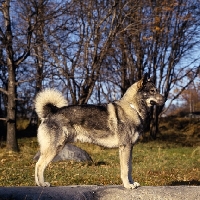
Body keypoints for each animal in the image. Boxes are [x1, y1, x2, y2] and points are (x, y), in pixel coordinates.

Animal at [34, 74, 164, 189]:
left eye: (156, 90)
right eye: (152, 91)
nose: (164, 99)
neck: (133, 108)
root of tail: (51, 112)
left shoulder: (130, 148)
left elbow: (130, 168)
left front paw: (132, 183)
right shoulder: (125, 147)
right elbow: (125, 169)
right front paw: (127, 185)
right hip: (54, 148)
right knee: (39, 165)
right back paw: (42, 184)